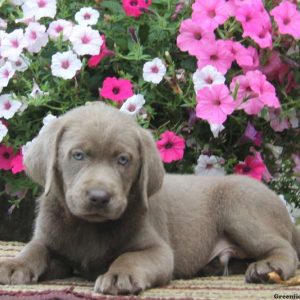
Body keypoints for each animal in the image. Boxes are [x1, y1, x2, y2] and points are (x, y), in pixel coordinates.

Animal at [0, 102, 300, 294]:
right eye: (78, 155)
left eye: (123, 160)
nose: (99, 197)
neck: (90, 227)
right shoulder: (50, 242)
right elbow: (34, 249)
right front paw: (14, 265)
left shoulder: (158, 250)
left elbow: (131, 257)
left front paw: (120, 276)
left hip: (240, 208)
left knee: (285, 249)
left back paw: (266, 268)